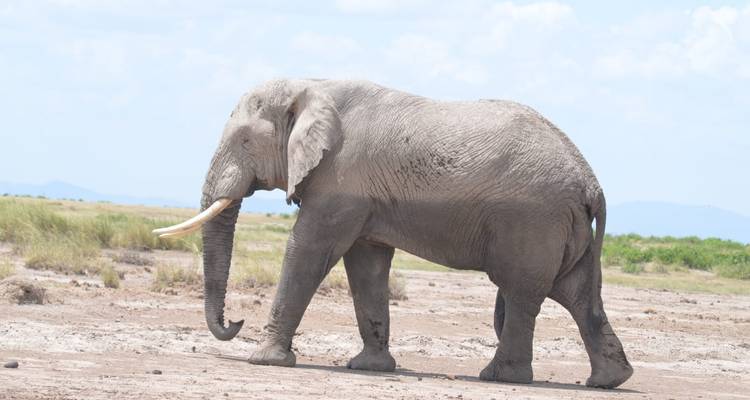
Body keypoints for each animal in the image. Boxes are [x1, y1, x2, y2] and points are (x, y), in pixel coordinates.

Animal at [154, 78, 633, 389]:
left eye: (244, 141)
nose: (235, 321)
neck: (309, 86)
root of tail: (591, 182)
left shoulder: (341, 178)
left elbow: (309, 250)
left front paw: (266, 361)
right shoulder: (360, 194)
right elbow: (366, 264)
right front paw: (369, 368)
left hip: (533, 221)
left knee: (521, 292)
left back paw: (500, 377)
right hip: (559, 225)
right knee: (574, 294)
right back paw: (609, 380)